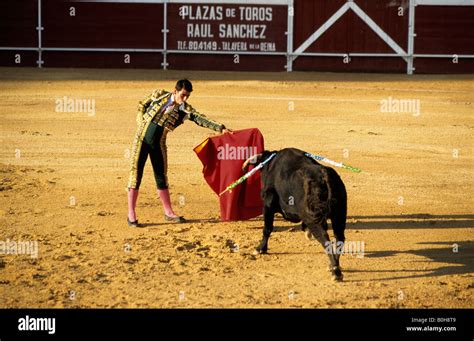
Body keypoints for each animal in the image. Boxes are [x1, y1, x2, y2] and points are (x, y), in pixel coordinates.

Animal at [248, 147, 348, 280]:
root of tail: (324, 176)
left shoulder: (268, 203)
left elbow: (267, 228)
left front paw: (260, 249)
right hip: (339, 215)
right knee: (339, 238)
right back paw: (333, 266)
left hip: (317, 219)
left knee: (325, 238)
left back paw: (336, 272)